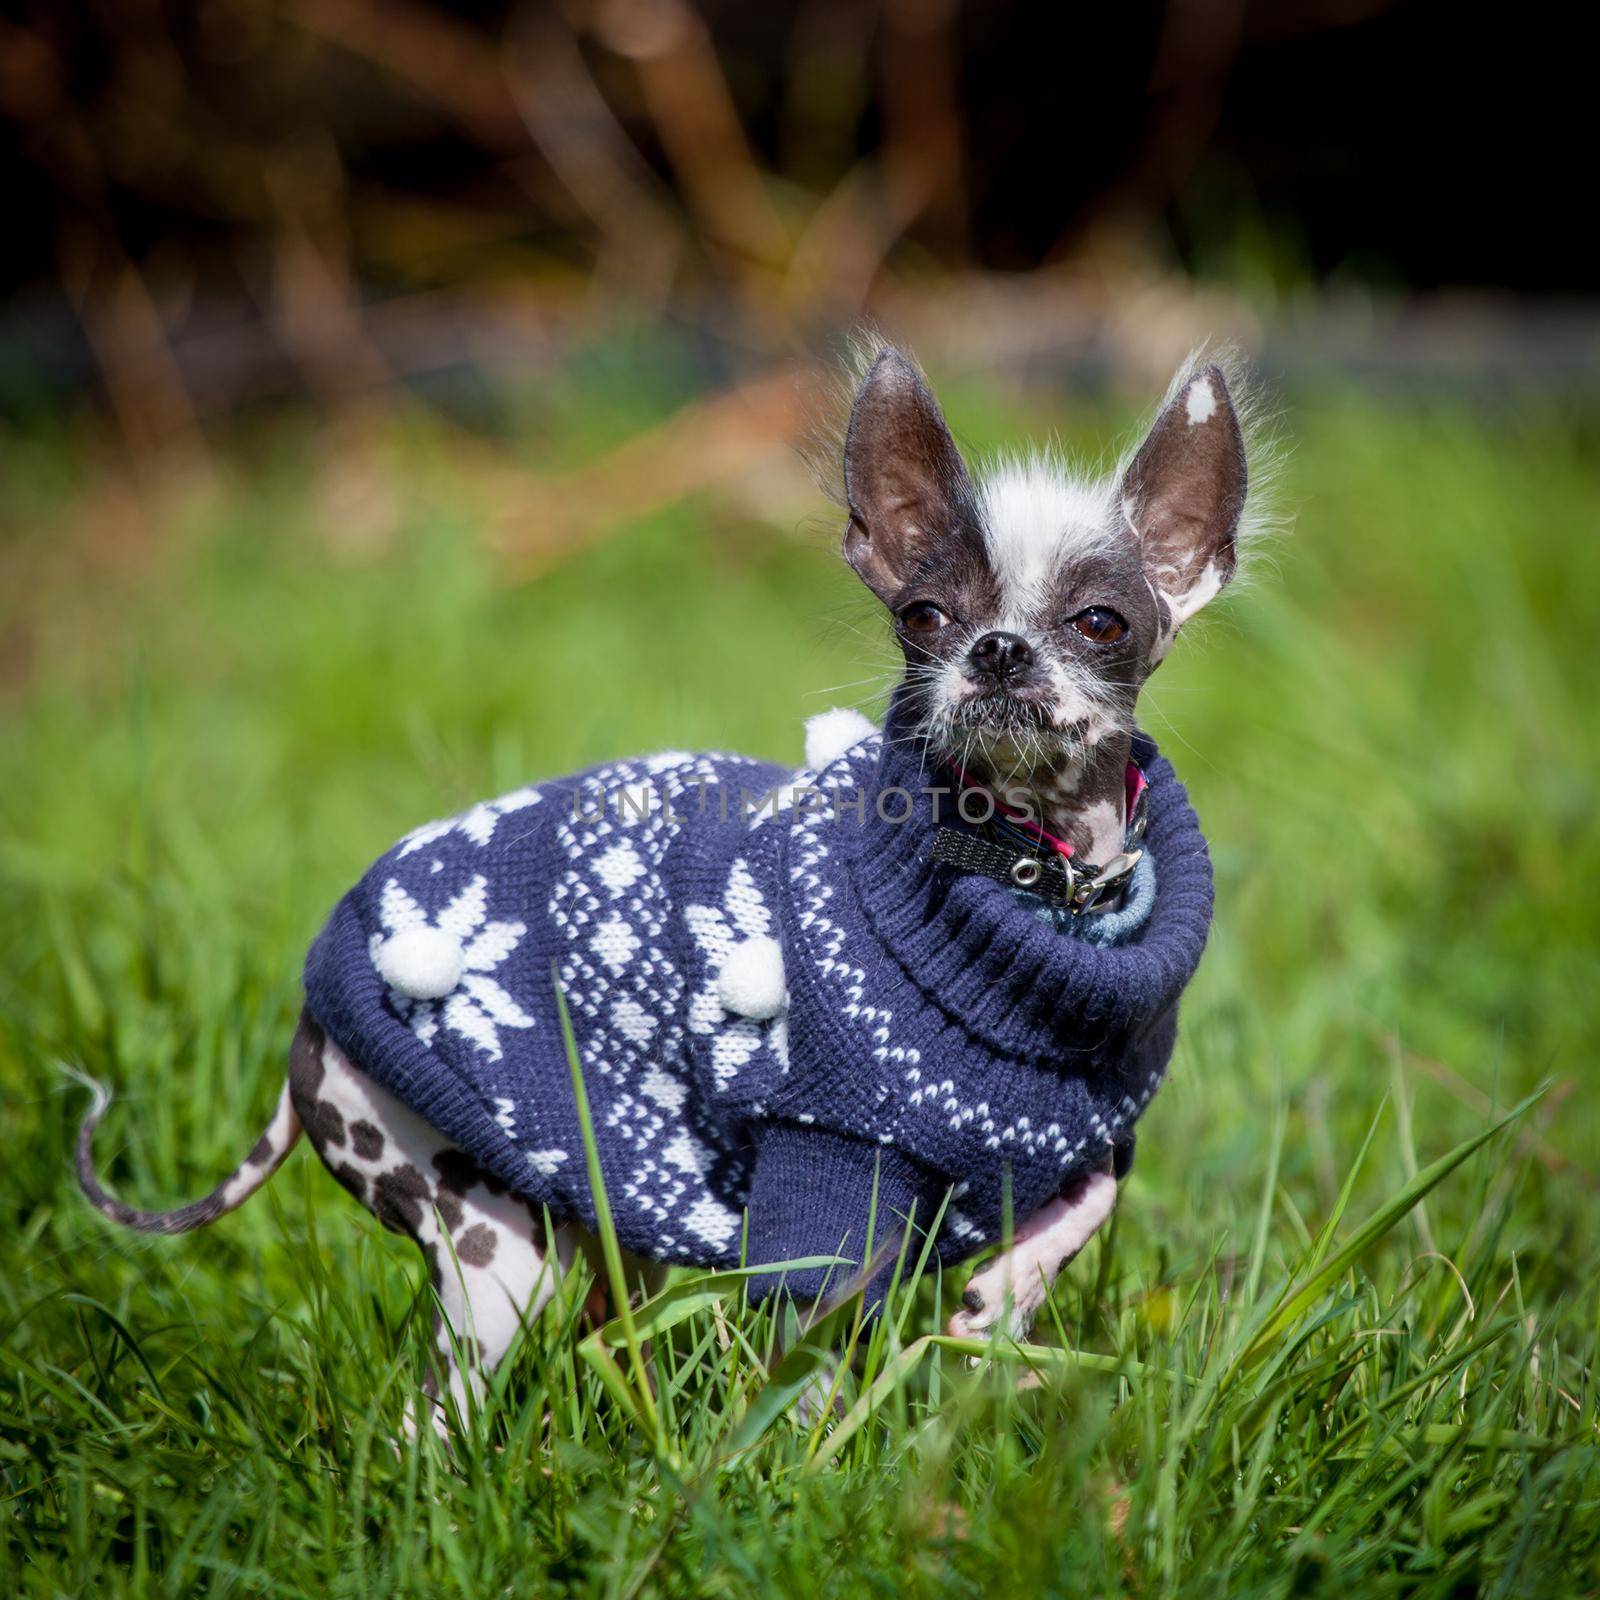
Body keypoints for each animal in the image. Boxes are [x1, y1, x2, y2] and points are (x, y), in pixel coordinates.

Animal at [75, 347, 1248, 1440]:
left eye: (1101, 622)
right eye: (924, 615)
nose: (997, 650)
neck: (1031, 890)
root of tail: (312, 1023)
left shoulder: (1084, 1140)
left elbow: (1082, 1206)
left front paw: (1000, 1299)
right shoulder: (824, 1176)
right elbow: (810, 1354)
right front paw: (803, 1468)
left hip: (603, 1221)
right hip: (494, 1252)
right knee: (428, 1421)